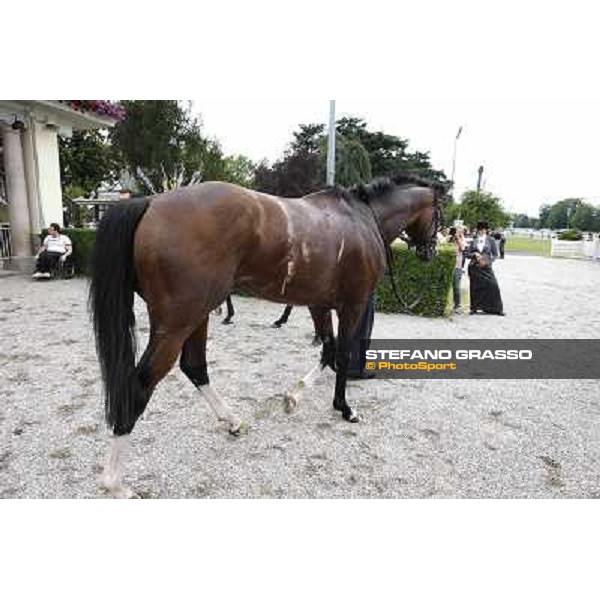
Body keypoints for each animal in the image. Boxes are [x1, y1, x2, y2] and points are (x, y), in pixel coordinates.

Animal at [90, 173, 446, 496]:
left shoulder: (318, 303)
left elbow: (327, 349)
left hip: (197, 314)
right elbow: (341, 354)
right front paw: (345, 408)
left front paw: (294, 396)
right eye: (440, 213)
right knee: (139, 385)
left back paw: (233, 421)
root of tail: (151, 202)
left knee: (195, 366)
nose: (430, 251)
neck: (360, 218)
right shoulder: (352, 305)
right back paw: (115, 484)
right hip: (178, 322)